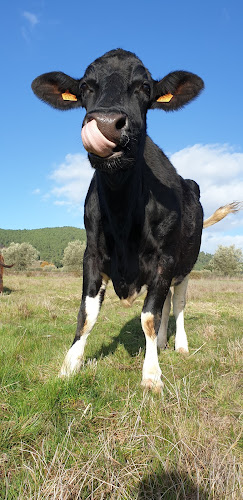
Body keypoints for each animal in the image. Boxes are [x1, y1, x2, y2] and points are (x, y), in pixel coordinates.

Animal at [31, 48, 233, 392]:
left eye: (144, 87)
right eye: (85, 86)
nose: (106, 123)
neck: (123, 215)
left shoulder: (165, 259)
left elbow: (149, 316)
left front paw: (151, 375)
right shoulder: (92, 253)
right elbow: (87, 314)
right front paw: (69, 367)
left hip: (185, 267)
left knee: (177, 304)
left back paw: (179, 345)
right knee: (167, 304)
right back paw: (163, 343)